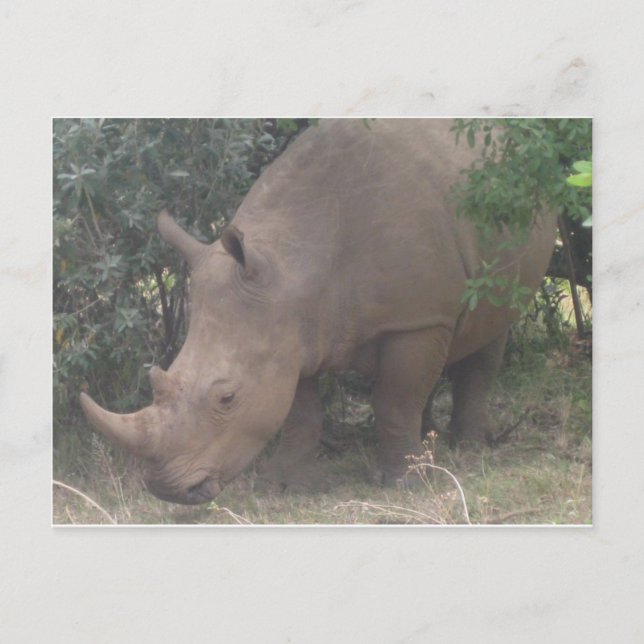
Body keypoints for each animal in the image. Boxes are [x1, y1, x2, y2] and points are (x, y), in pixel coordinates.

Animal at [80, 119, 557, 505]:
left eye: (227, 398)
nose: (169, 490)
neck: (294, 266)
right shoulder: (286, 332)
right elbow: (300, 412)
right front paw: (285, 485)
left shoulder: (416, 318)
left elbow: (395, 398)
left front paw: (404, 483)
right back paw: (430, 439)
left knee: (489, 333)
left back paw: (467, 446)